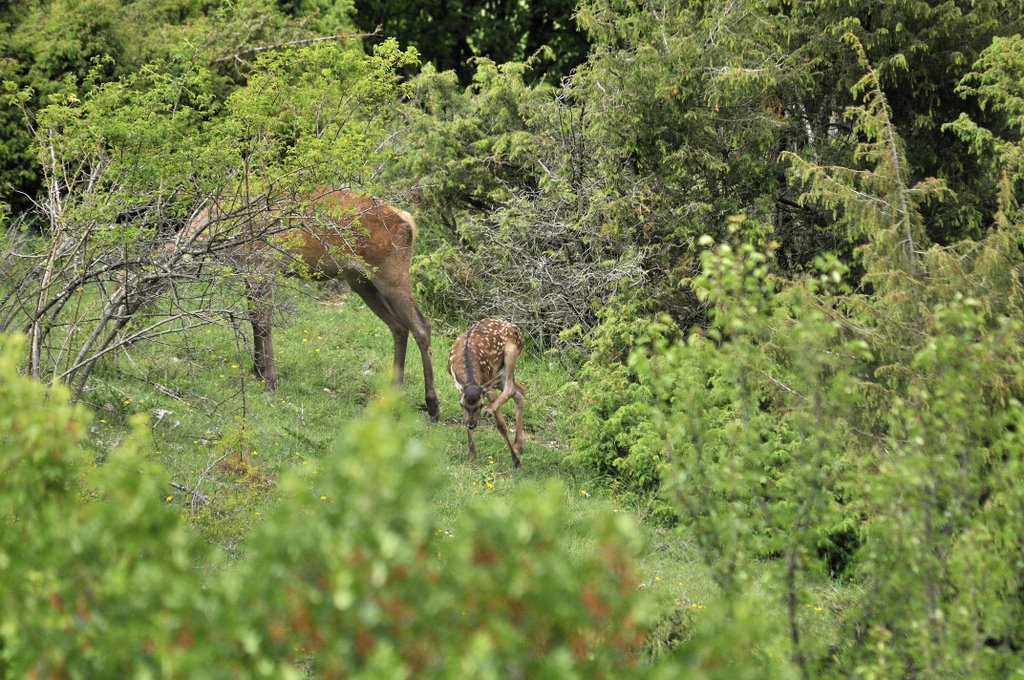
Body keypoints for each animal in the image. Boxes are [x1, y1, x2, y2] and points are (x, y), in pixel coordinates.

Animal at [182, 186, 438, 419]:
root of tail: (409, 222)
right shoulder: (249, 271)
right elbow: (254, 320)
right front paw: (257, 371)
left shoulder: (265, 266)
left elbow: (264, 324)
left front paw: (270, 383)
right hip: (360, 280)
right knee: (398, 326)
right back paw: (393, 393)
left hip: (390, 273)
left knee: (421, 325)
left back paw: (433, 407)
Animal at [450, 317, 528, 466]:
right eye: (462, 405)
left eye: (480, 405)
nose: (471, 425)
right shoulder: (460, 389)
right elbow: (464, 415)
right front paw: (472, 454)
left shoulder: (487, 383)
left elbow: (501, 426)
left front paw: (516, 462)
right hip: (499, 375)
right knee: (520, 392)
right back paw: (518, 445)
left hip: (510, 353)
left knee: (511, 388)